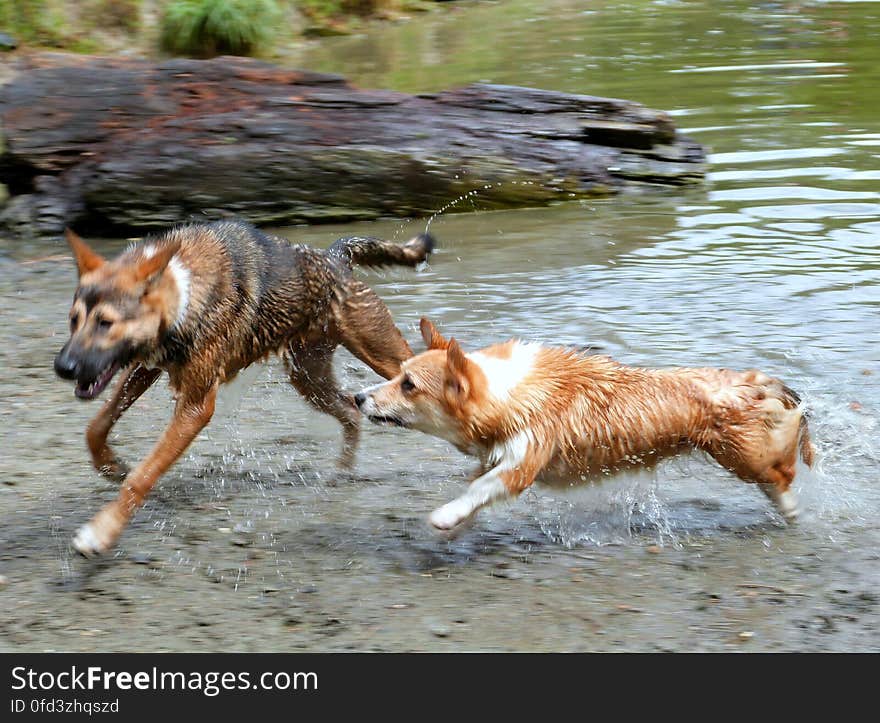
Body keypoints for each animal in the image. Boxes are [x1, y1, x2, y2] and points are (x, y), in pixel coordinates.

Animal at [55, 219, 434, 556]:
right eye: (73, 320)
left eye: (106, 323)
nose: (63, 367)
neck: (184, 290)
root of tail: (335, 258)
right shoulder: (144, 367)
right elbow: (96, 428)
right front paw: (112, 466)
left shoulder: (195, 406)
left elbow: (143, 475)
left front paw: (101, 532)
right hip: (308, 377)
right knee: (350, 411)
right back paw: (342, 472)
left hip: (382, 357)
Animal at [354, 320, 816, 536]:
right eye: (398, 374)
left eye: (408, 385)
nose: (357, 398)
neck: (506, 394)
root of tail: (756, 381)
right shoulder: (496, 455)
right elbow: (475, 489)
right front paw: (460, 525)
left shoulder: (522, 462)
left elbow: (478, 489)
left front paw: (446, 517)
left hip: (743, 454)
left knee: (784, 471)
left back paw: (791, 506)